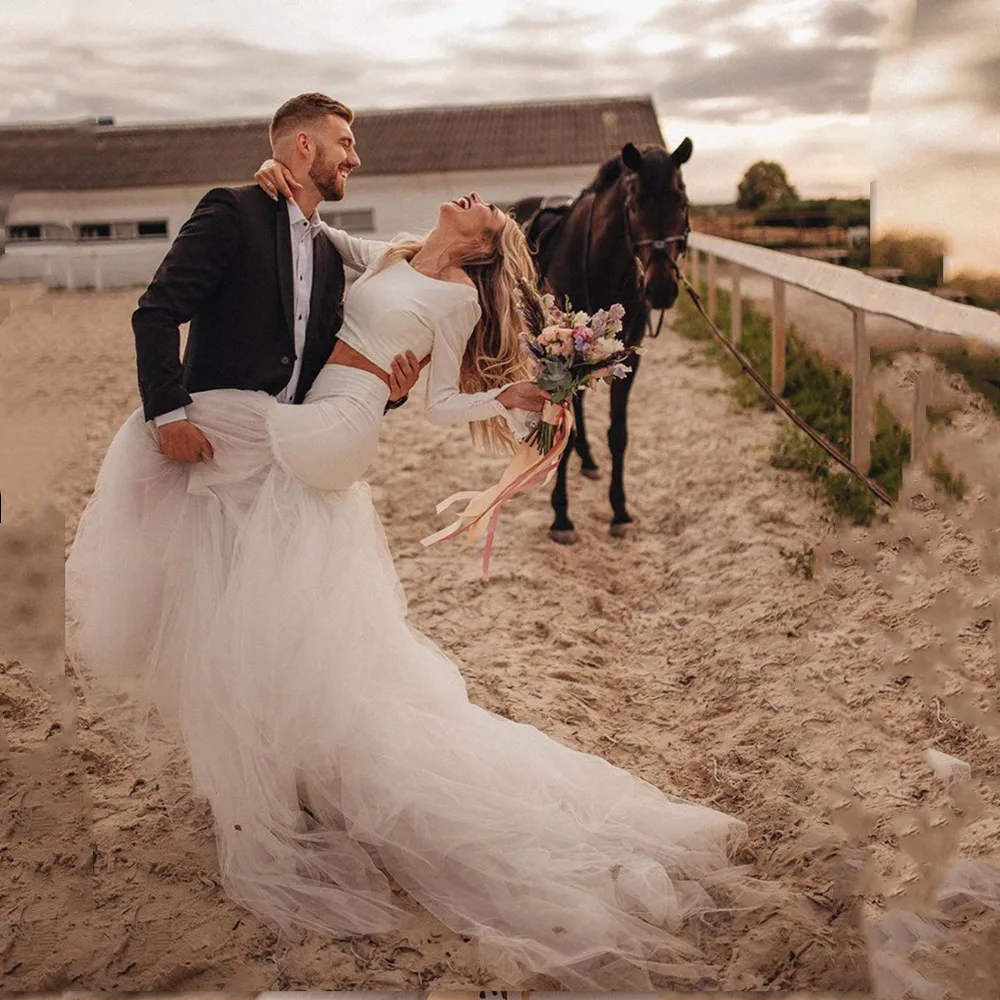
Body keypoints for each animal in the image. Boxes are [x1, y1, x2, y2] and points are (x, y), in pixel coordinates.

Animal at [512, 140, 692, 544]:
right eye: (634, 204)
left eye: (682, 201)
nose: (661, 288)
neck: (602, 265)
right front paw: (561, 517)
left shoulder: (625, 358)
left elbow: (618, 434)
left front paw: (620, 511)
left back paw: (589, 459)